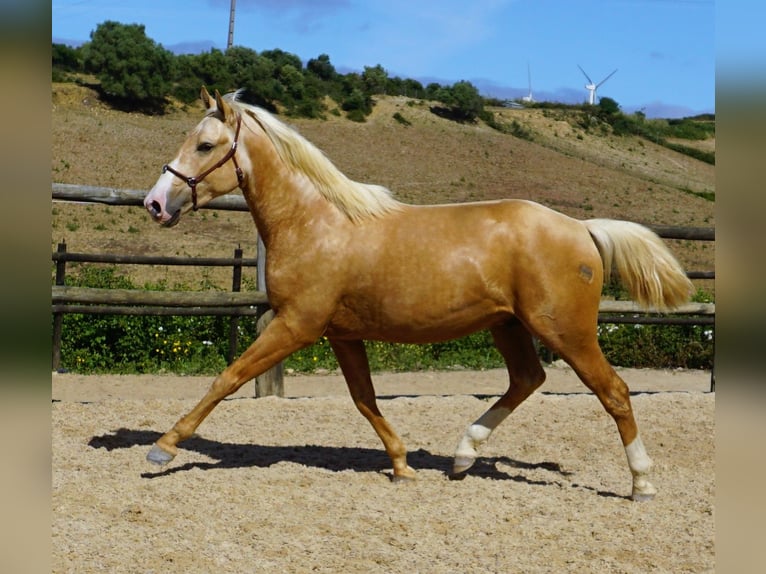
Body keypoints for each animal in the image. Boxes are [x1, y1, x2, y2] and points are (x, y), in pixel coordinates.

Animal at [144, 88, 696, 502]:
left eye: (205, 145)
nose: (155, 204)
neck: (315, 223)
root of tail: (582, 228)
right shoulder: (341, 334)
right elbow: (364, 399)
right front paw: (402, 463)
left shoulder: (296, 324)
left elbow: (228, 377)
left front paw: (163, 447)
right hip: (509, 325)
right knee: (527, 380)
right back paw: (462, 456)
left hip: (567, 330)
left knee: (614, 392)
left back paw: (641, 484)